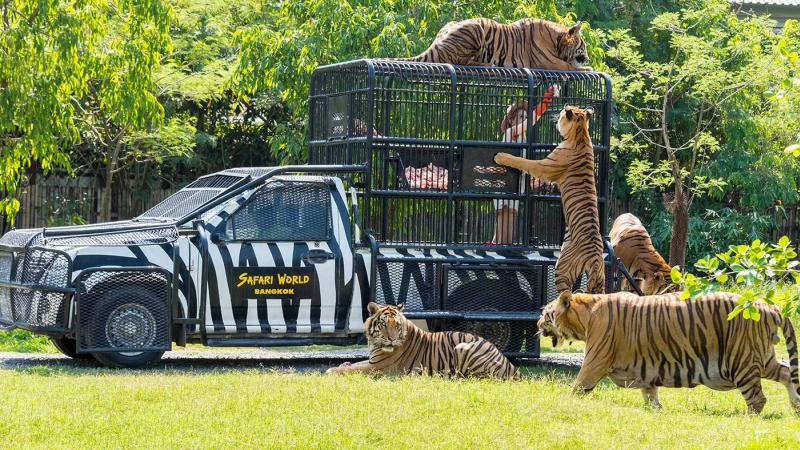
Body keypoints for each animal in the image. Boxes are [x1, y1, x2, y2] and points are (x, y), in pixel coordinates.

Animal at [325, 302, 518, 380]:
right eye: (384, 324)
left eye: (396, 325)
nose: (392, 339)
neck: (375, 343)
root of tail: (511, 366)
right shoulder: (372, 360)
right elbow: (354, 364)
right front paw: (344, 363)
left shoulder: (378, 367)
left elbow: (352, 370)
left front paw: (331, 370)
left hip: (463, 347)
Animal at [399, 18, 591, 71]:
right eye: (584, 46)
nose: (588, 58)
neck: (557, 41)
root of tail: (435, 43)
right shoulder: (548, 62)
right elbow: (570, 66)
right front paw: (589, 69)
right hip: (476, 29)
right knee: (457, 61)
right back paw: (485, 64)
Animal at [494, 105, 604, 294]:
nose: (558, 113)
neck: (581, 134)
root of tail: (596, 259)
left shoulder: (543, 166)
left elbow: (523, 161)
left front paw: (501, 156)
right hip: (600, 280)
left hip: (562, 268)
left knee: (566, 293)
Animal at [537, 290, 800, 414]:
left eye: (545, 313)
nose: (537, 324)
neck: (584, 318)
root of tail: (768, 306)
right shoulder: (644, 370)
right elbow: (650, 394)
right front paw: (657, 411)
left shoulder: (595, 361)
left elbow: (577, 387)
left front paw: (563, 402)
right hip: (762, 358)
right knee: (787, 373)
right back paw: (796, 406)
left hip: (741, 360)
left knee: (758, 398)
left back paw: (747, 418)